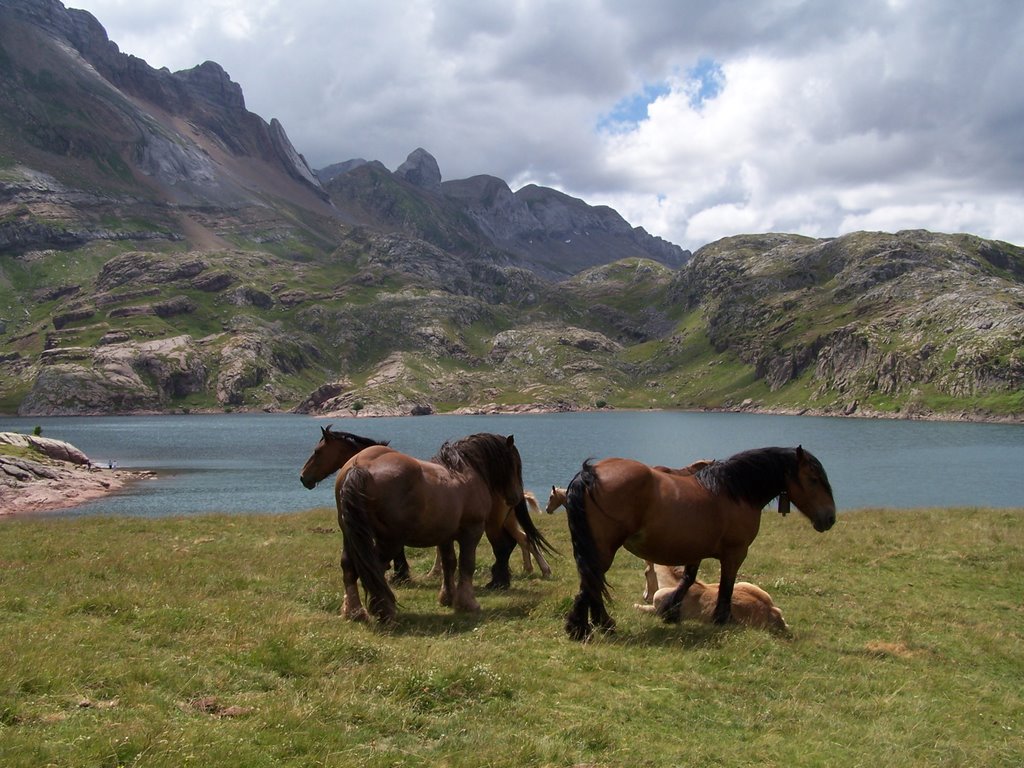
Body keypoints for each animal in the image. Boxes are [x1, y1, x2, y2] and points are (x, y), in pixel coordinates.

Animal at [565, 444, 835, 643]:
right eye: (813, 479)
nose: (830, 518)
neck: (733, 492)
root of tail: (591, 473)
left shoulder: (694, 549)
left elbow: (688, 579)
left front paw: (672, 612)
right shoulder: (735, 553)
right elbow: (725, 587)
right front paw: (721, 619)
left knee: (591, 582)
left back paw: (594, 625)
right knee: (591, 582)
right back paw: (589, 627)